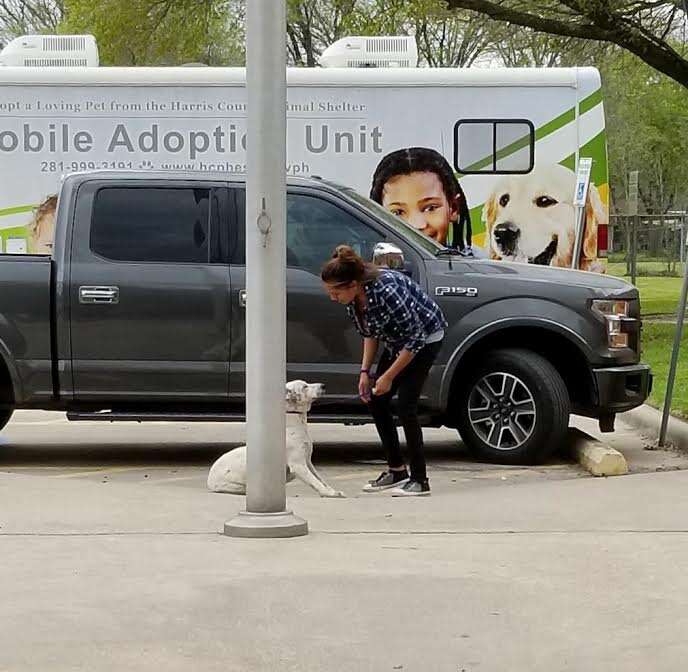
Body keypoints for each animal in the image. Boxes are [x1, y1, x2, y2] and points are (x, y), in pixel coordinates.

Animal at [204, 380, 344, 496]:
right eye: (304, 386)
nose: (323, 385)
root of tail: (209, 479)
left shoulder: (308, 462)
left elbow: (320, 479)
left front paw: (332, 490)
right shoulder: (298, 465)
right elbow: (315, 481)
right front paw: (328, 493)